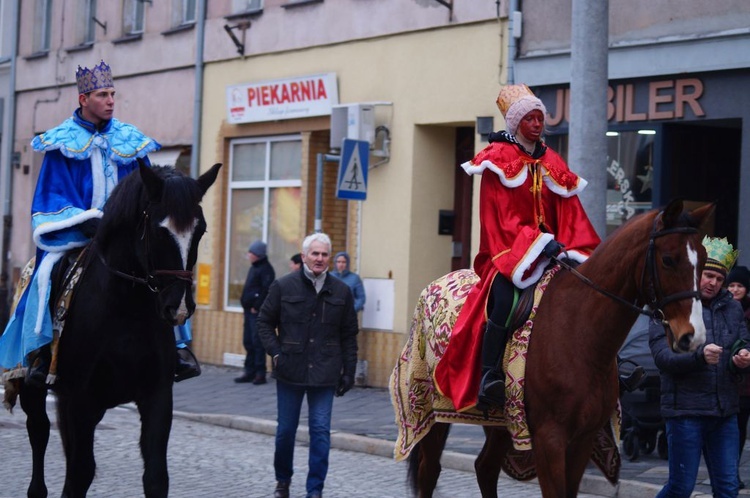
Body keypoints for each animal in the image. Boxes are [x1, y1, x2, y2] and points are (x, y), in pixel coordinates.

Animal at [6, 161, 223, 496]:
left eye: (200, 231)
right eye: (159, 230)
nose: (178, 307)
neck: (126, 312)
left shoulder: (157, 396)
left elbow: (156, 477)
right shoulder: (81, 399)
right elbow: (79, 474)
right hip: (34, 387)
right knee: (39, 431)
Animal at [394, 199, 716, 498]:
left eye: (702, 260)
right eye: (669, 259)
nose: (693, 337)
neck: (581, 335)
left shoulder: (583, 438)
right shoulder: (550, 439)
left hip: (502, 423)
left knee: (484, 468)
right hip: (431, 411)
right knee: (430, 472)